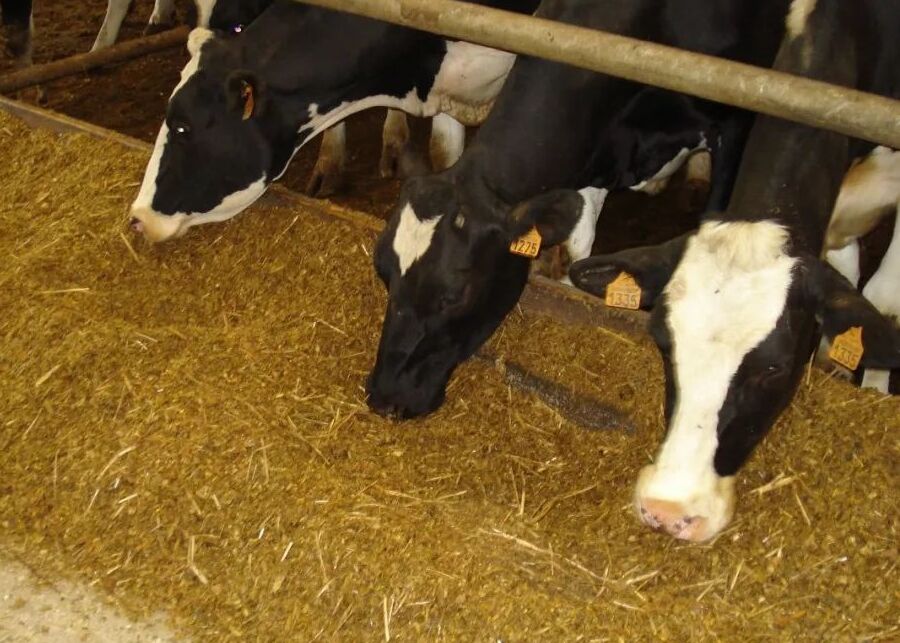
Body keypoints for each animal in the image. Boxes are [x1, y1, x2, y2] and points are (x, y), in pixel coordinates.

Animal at [366, 0, 791, 419]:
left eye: (453, 296)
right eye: (383, 273)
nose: (383, 398)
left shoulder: (736, 126)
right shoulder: (596, 150)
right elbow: (576, 250)